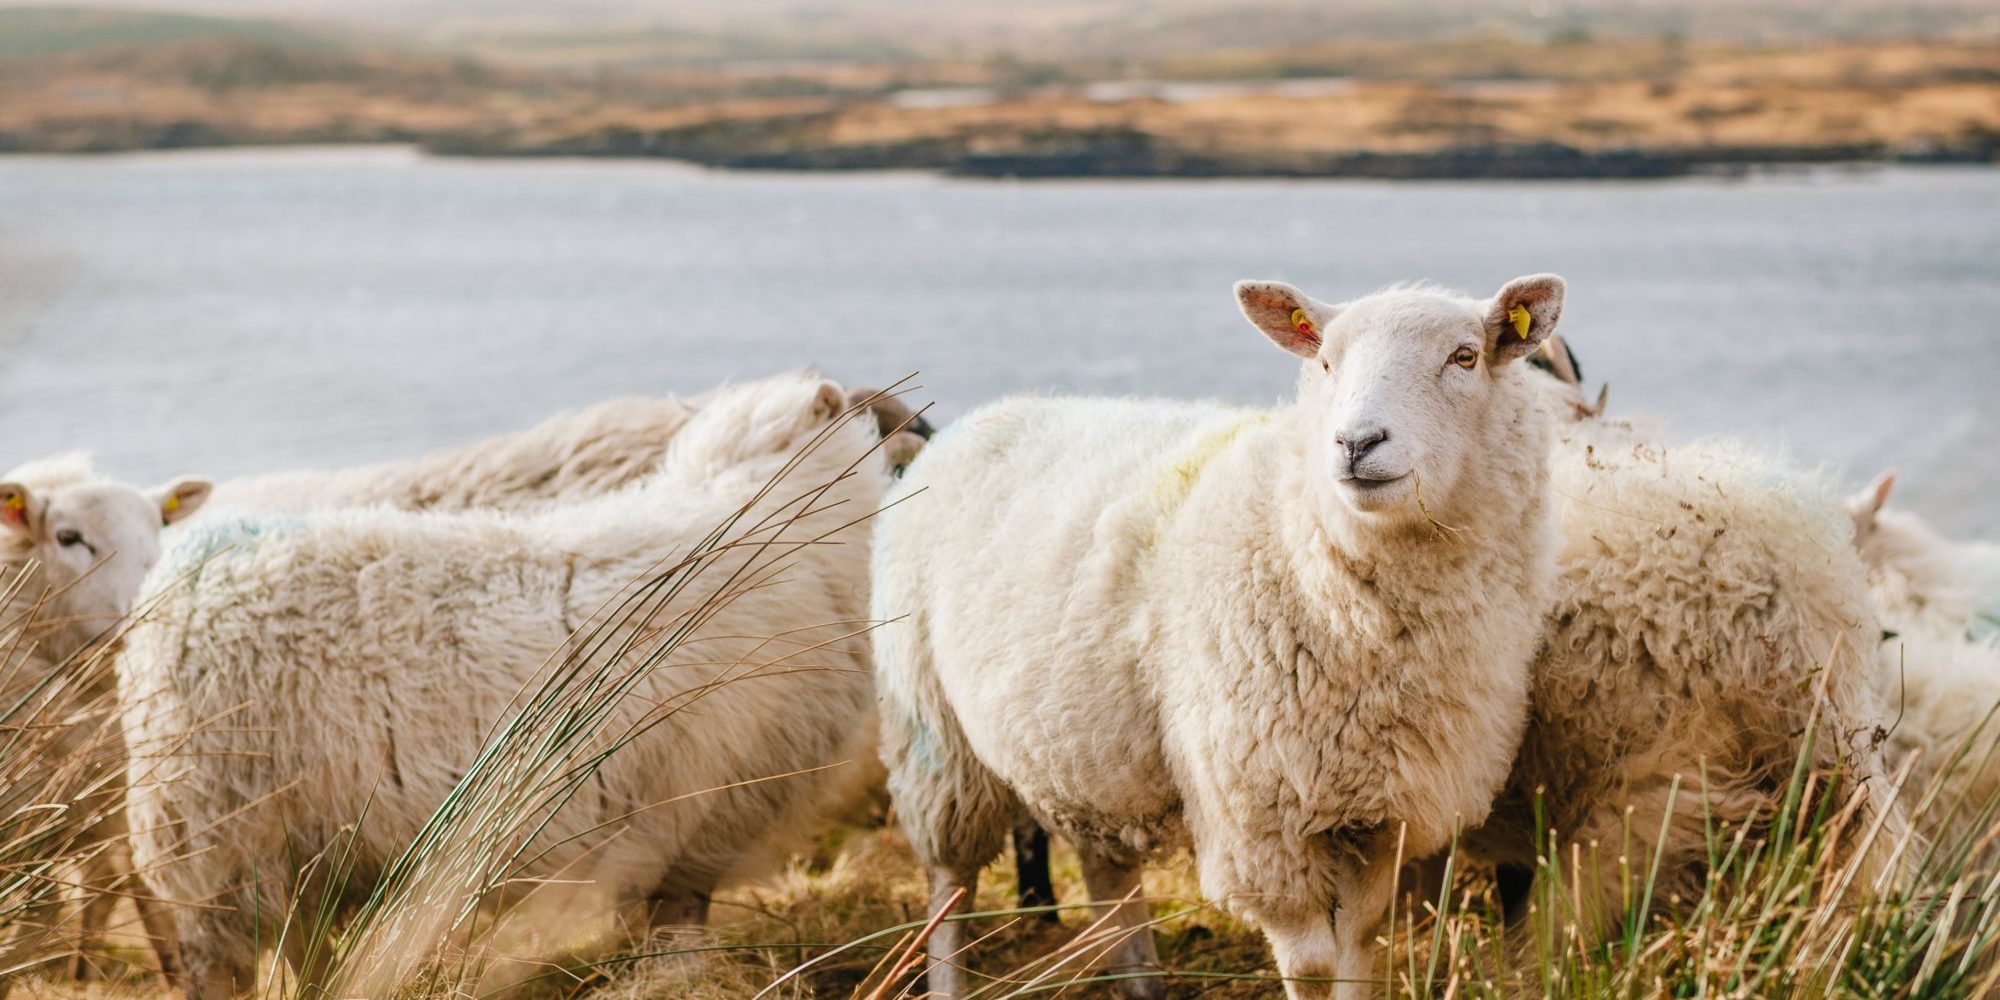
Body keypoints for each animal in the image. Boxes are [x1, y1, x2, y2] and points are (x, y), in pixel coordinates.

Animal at [116, 373, 919, 999]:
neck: (765, 511)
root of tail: (178, 585)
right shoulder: (697, 821)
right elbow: (677, 933)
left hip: (289, 851)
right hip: (218, 841)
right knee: (214, 967)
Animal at [873, 275, 1569, 1000]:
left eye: (1465, 356)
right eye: (1325, 362)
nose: (1356, 443)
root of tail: (974, 421)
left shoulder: (1381, 812)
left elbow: (1360, 945)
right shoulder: (1262, 818)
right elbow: (1312, 967)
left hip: (1083, 749)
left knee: (1107, 871)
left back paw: (1141, 979)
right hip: (933, 732)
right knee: (950, 883)